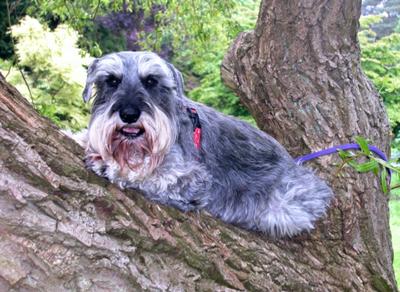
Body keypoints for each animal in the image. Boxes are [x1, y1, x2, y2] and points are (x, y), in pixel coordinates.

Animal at [68, 50, 332, 237]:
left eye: (151, 81)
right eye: (111, 81)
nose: (129, 114)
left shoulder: (192, 178)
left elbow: (150, 176)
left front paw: (110, 166)